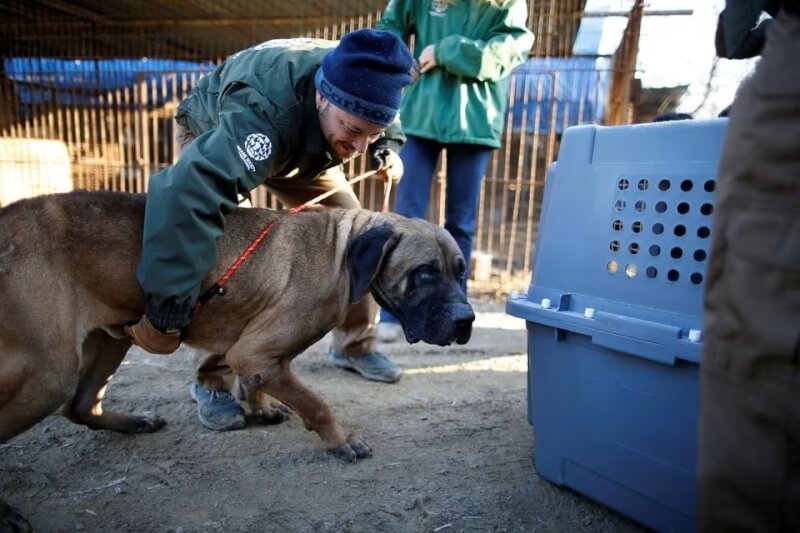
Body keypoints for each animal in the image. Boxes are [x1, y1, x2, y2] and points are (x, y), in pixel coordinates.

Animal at [0, 190, 476, 524]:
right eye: (424, 274)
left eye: (461, 271)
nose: (466, 320)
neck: (341, 251)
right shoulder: (254, 352)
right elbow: (317, 404)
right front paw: (341, 441)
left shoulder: (255, 355)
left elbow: (256, 384)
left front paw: (262, 410)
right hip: (48, 374)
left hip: (111, 340)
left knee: (81, 407)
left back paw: (134, 421)